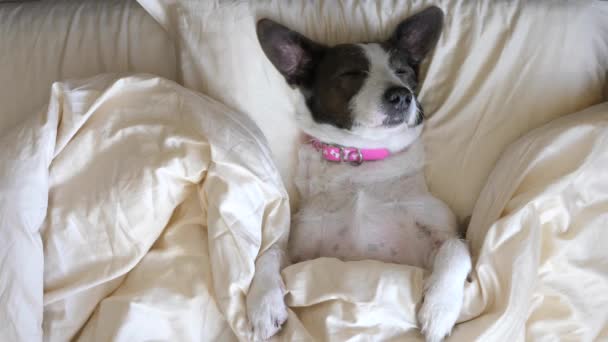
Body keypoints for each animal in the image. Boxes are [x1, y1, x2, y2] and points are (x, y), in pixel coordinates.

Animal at [246, 6, 470, 342]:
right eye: (351, 74)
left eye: (403, 72)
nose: (401, 95)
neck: (361, 162)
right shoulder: (299, 254)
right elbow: (270, 252)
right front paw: (263, 302)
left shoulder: (441, 233)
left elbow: (457, 249)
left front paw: (440, 309)